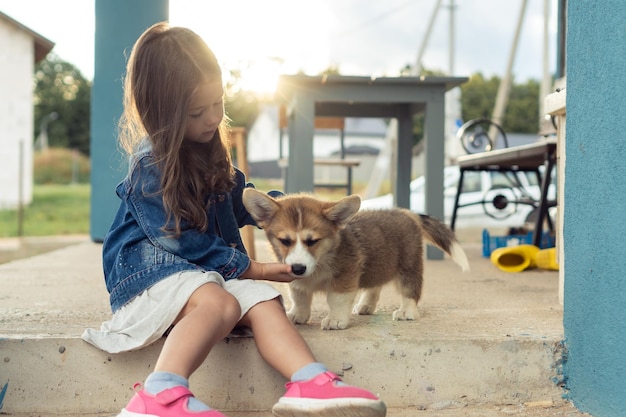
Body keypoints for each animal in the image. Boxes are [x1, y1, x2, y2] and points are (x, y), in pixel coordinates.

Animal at [241, 188, 466, 328]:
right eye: (285, 241)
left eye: (312, 241)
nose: (298, 268)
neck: (322, 259)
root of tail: (407, 213)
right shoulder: (298, 282)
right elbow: (300, 297)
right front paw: (298, 315)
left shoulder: (345, 275)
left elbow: (336, 299)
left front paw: (335, 320)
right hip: (379, 263)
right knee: (375, 284)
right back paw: (366, 305)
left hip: (408, 266)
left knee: (410, 290)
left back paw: (406, 312)